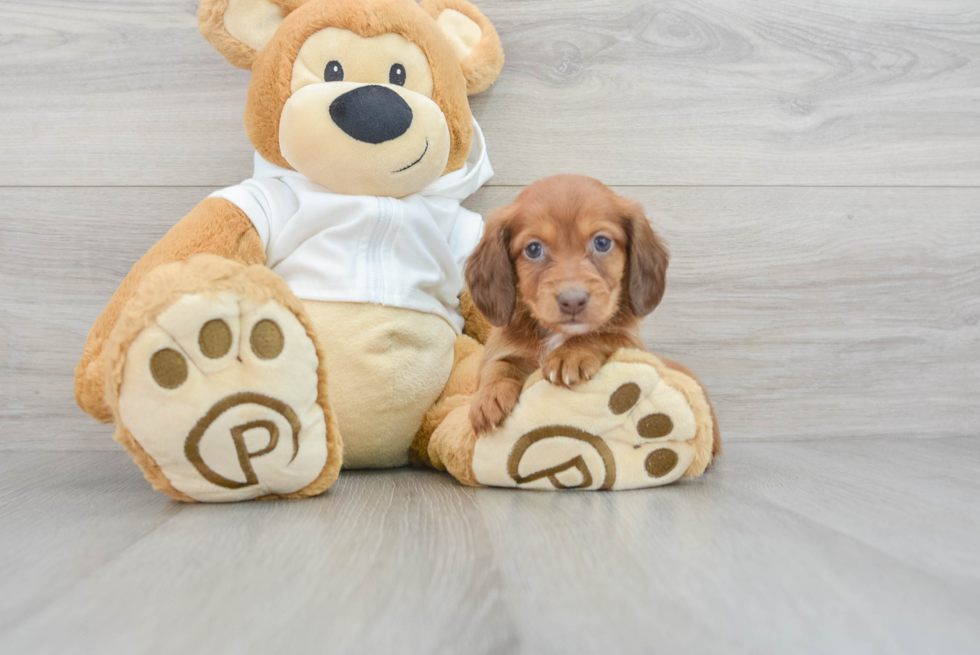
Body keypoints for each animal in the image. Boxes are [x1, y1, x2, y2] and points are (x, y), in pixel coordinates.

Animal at [466, 177, 668, 438]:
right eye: (533, 249)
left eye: (602, 242)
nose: (573, 301)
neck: (558, 334)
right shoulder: (502, 347)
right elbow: (496, 366)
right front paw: (489, 396)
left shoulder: (631, 345)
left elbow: (602, 335)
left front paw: (571, 353)